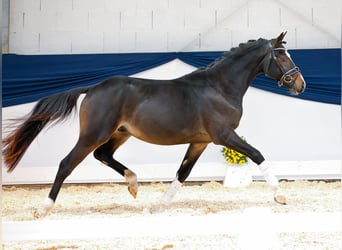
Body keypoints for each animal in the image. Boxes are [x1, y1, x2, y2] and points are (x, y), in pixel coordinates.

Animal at [1, 32, 306, 217]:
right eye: (281, 55)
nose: (300, 84)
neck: (219, 87)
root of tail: (93, 88)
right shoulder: (223, 135)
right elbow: (257, 154)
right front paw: (280, 196)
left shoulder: (201, 141)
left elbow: (183, 172)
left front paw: (160, 205)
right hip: (94, 134)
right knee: (67, 163)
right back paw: (43, 209)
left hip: (119, 134)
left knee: (103, 155)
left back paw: (134, 184)